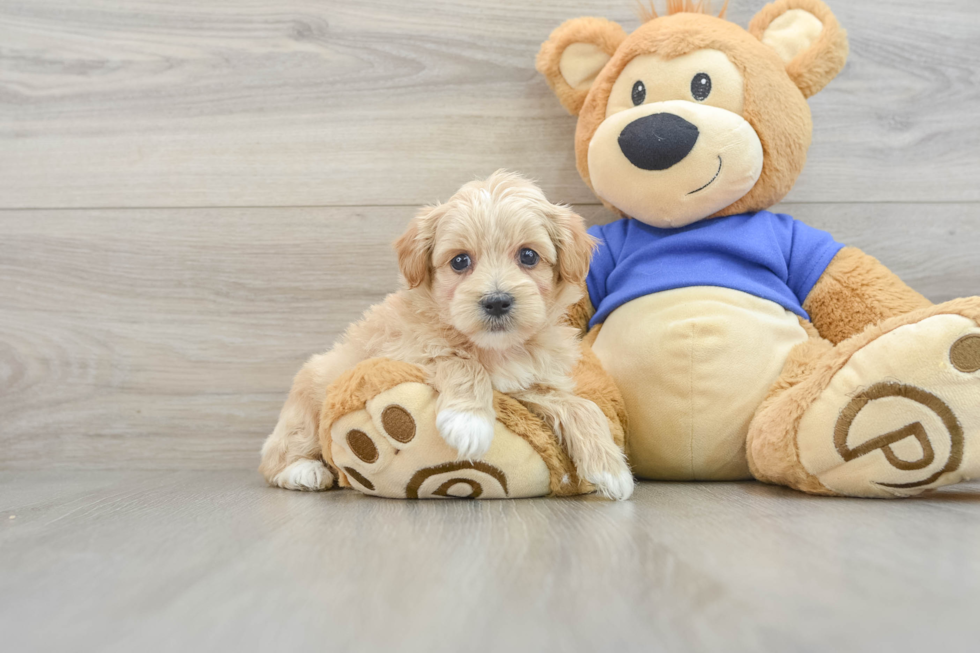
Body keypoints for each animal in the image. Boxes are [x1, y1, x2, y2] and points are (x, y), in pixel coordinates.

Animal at [256, 168, 632, 500]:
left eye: (528, 255)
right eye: (460, 261)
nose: (497, 301)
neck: (496, 349)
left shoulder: (528, 385)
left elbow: (581, 405)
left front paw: (611, 469)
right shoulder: (405, 353)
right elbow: (459, 360)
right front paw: (469, 422)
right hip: (309, 401)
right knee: (275, 454)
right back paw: (304, 471)